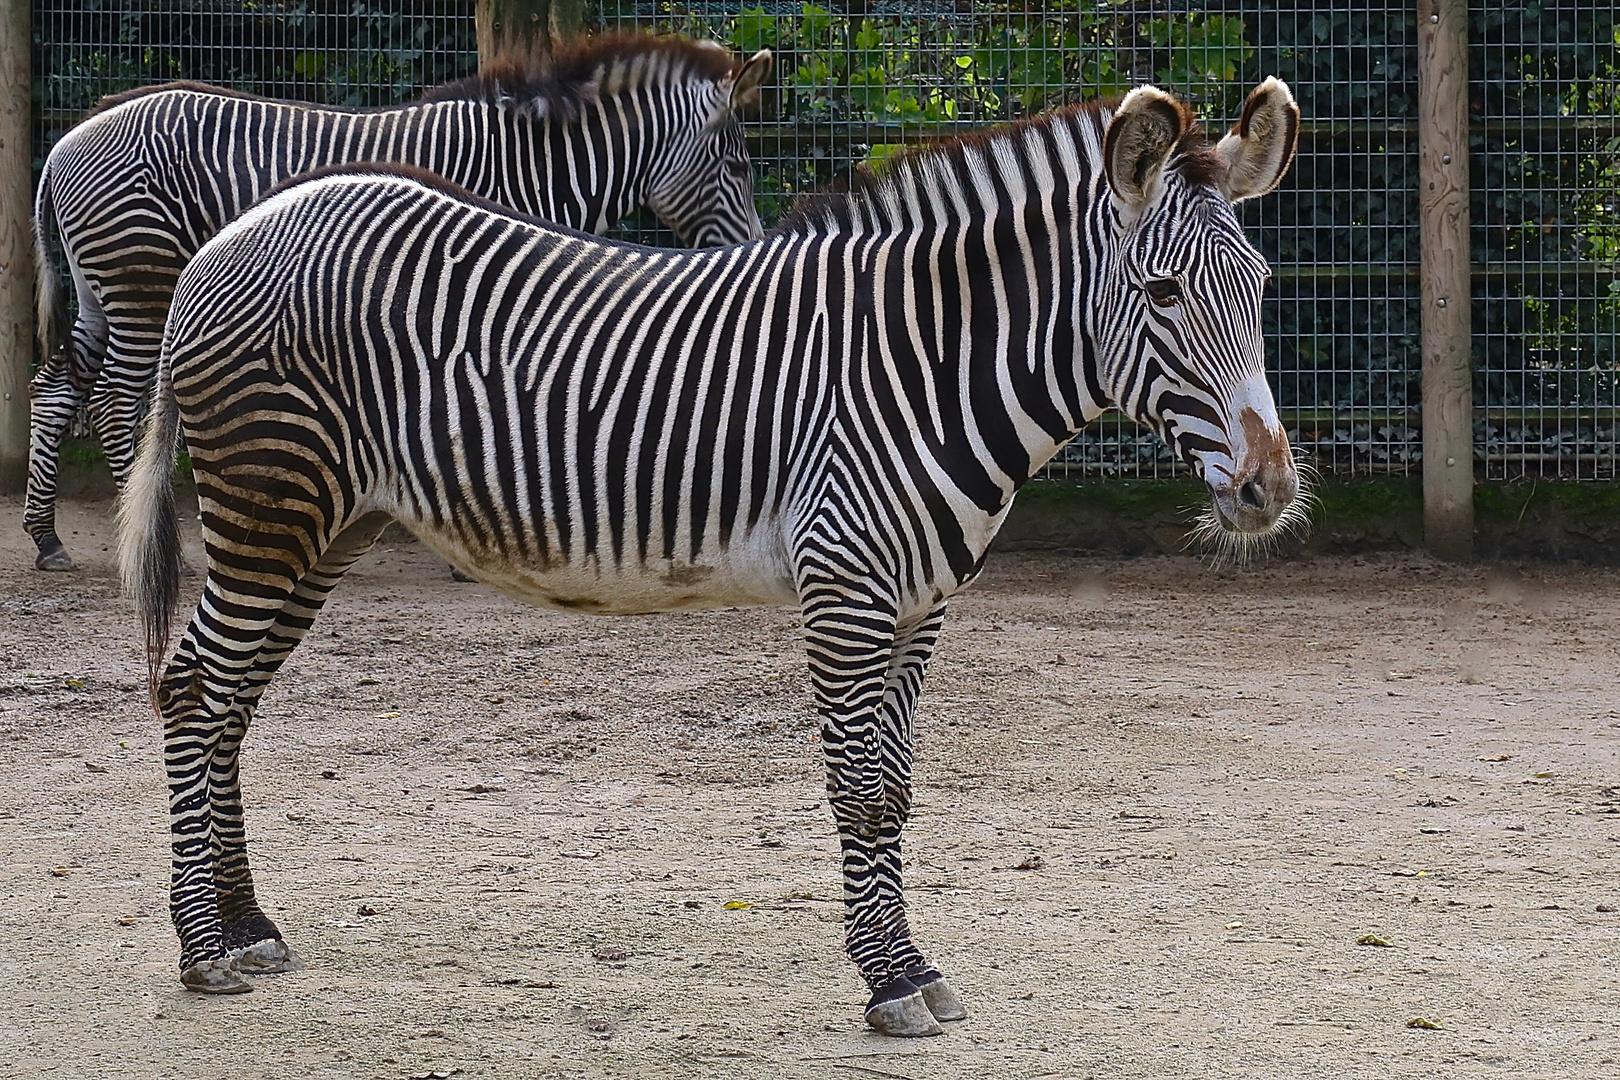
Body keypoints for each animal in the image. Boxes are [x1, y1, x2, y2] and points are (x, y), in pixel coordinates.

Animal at [28, 31, 774, 573]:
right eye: (739, 167)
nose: (752, 249)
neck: (533, 166)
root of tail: (65, 141)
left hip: (99, 290)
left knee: (54, 389)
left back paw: (47, 539)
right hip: (139, 283)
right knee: (111, 402)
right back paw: (153, 540)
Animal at [117, 80, 1302, 1036]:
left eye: (1261, 286)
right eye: (1162, 294)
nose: (1270, 491)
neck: (927, 366)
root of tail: (231, 236)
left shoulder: (923, 603)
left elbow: (898, 787)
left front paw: (914, 964)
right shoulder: (847, 585)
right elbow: (858, 790)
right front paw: (888, 983)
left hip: (322, 527)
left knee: (233, 702)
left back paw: (248, 925)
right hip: (268, 506)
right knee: (193, 688)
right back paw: (201, 949)